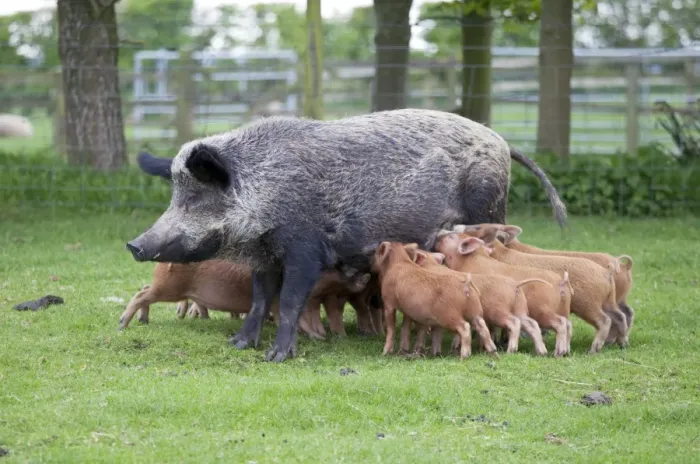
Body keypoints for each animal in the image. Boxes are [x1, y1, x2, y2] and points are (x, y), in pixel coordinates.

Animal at [434, 232, 573, 356]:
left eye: (451, 236)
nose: (437, 236)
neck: (469, 262)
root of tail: (561, 282)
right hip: (556, 309)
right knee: (566, 324)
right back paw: (558, 352)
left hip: (541, 309)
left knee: (559, 323)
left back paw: (556, 352)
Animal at [450, 224, 625, 354]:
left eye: (478, 226)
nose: (456, 226)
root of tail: (607, 273)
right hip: (607, 302)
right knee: (620, 316)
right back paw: (620, 344)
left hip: (588, 304)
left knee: (604, 320)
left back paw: (592, 350)